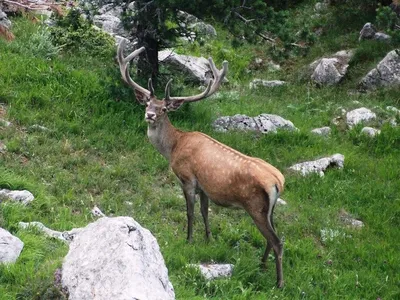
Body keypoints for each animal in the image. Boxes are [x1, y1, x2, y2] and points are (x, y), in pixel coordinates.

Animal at [117, 39, 286, 288]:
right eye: (147, 103)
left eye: (164, 109)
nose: (150, 115)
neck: (174, 147)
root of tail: (278, 181)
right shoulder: (206, 186)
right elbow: (206, 212)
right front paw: (208, 238)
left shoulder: (187, 178)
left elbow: (190, 212)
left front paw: (188, 239)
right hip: (269, 210)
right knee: (270, 238)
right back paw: (262, 265)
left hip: (255, 206)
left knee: (277, 241)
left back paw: (278, 283)